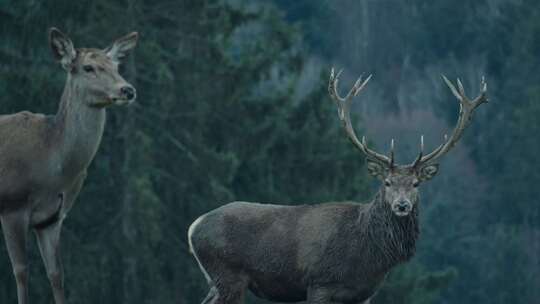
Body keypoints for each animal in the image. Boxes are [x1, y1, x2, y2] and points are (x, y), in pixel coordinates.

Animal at [1, 28, 139, 304]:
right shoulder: (12, 205)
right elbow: (21, 272)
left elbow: (56, 274)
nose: (127, 90)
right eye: (88, 67)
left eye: (117, 65)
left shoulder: (53, 217)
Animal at [188, 69, 488, 304]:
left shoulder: (363, 294)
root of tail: (194, 227)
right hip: (228, 275)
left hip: (217, 281)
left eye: (415, 183)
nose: (402, 205)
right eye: (387, 182)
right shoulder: (320, 283)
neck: (368, 254)